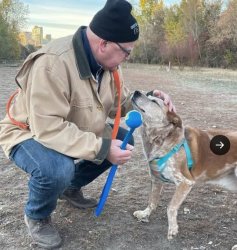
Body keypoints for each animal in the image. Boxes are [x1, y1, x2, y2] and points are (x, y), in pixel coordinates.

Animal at [131, 91, 237, 239]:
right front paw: (144, 213)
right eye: (147, 95)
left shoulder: (186, 182)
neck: (162, 139)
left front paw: (172, 228)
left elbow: (171, 207)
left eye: (154, 101)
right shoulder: (156, 179)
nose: (136, 92)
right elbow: (152, 201)